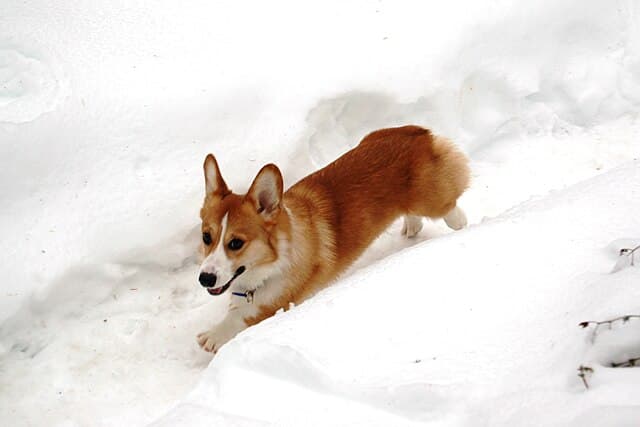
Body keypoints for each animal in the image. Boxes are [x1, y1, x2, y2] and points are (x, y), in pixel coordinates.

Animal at [195, 125, 470, 352]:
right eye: (206, 237)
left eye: (236, 243)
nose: (204, 279)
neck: (270, 264)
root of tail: (420, 133)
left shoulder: (277, 300)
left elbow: (242, 316)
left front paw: (214, 335)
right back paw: (412, 225)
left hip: (431, 200)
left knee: (451, 211)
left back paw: (464, 227)